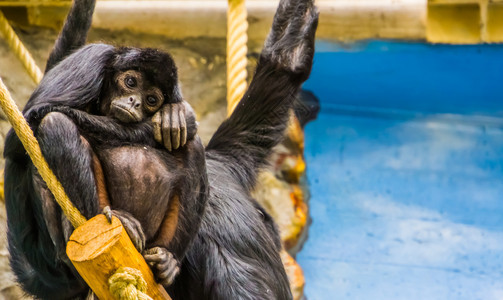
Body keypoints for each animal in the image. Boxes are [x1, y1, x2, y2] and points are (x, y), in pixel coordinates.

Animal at [2, 0, 318, 298]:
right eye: (130, 82)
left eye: (151, 99)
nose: (134, 102)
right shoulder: (90, 60)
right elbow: (28, 125)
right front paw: (178, 116)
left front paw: (172, 114)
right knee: (55, 124)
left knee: (190, 149)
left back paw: (166, 262)